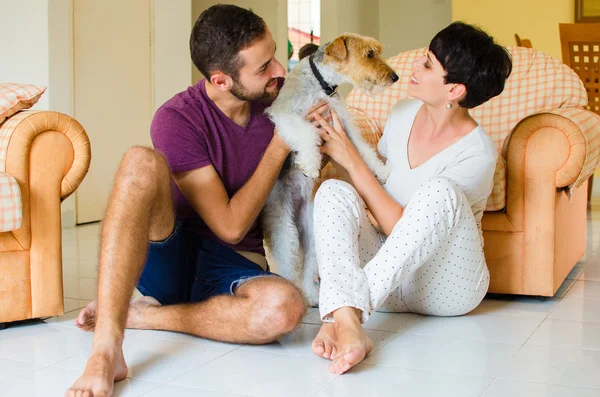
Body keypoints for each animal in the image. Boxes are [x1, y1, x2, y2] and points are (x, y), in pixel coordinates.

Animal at [264, 33, 398, 306]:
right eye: (369, 53)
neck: (321, 84)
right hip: (283, 228)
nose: (394, 77)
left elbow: (363, 151)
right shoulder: (287, 117)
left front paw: (381, 171)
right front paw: (310, 164)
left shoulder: (342, 124)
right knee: (288, 266)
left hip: (313, 232)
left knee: (308, 267)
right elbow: (306, 134)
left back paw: (312, 296)